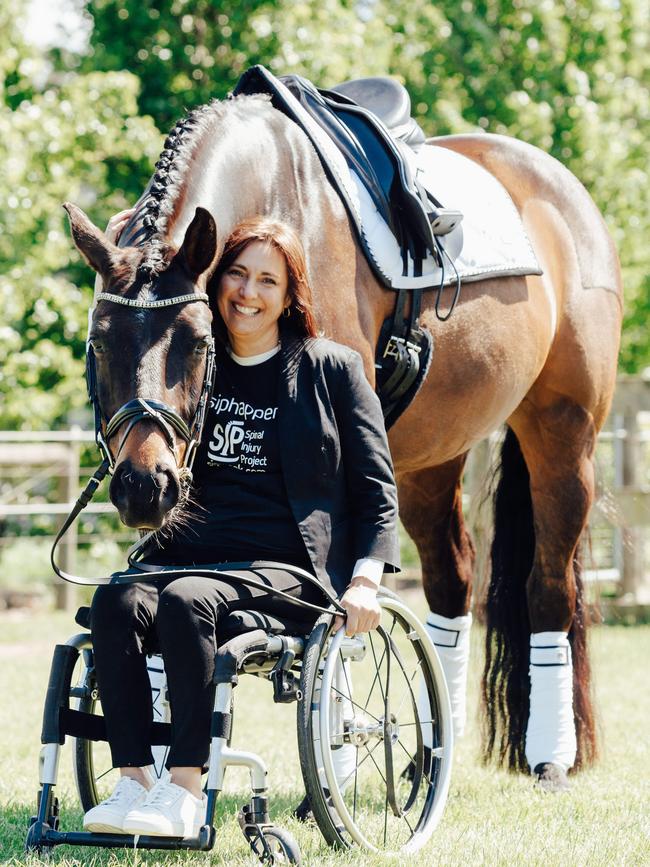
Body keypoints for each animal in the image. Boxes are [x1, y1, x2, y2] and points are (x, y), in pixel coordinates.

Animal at [63, 90, 620, 792]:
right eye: (99, 341)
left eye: (195, 342)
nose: (142, 485)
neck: (277, 196)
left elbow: (336, 617)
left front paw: (336, 760)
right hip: (430, 459)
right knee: (453, 578)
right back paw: (431, 753)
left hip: (563, 436)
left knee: (548, 587)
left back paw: (549, 757)